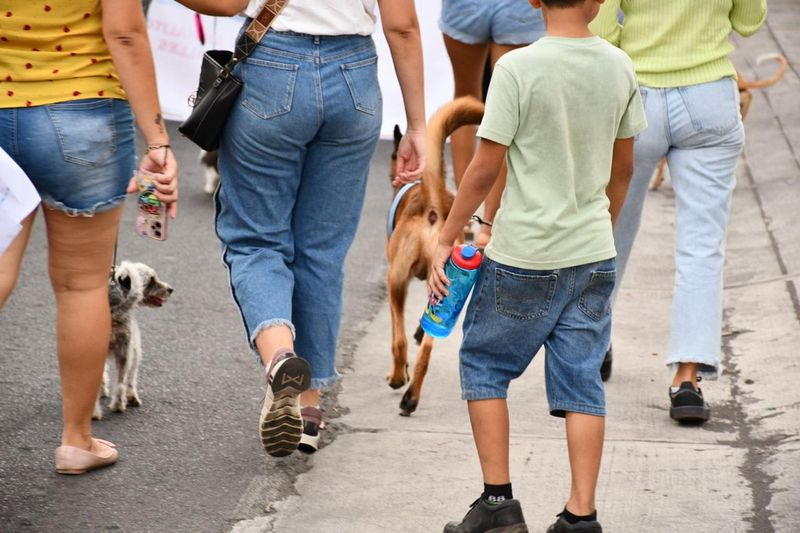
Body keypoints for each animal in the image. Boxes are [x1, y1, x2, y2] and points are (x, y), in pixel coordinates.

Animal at [94, 260, 174, 418]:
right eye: (151, 280)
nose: (170, 289)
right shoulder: (134, 348)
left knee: (119, 384)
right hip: (130, 351)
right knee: (123, 382)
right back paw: (119, 405)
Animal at [386, 95, 484, 416]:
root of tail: (434, 205)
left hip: (395, 282)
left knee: (400, 342)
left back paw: (398, 378)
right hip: (440, 279)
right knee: (427, 349)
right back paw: (411, 397)